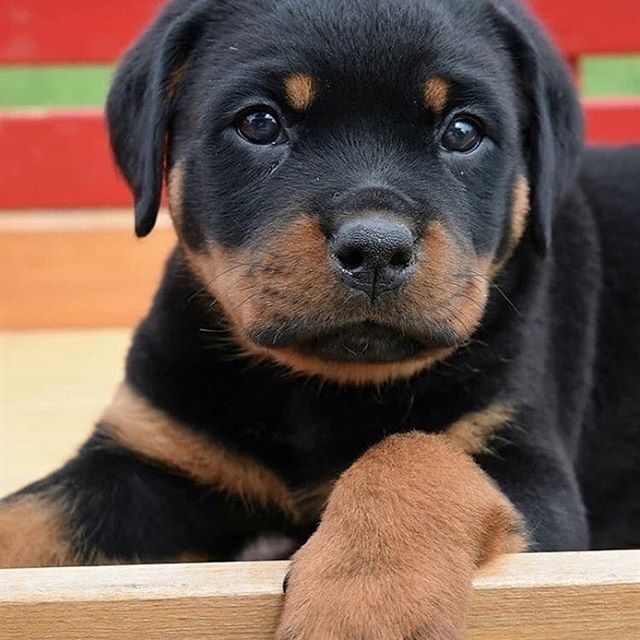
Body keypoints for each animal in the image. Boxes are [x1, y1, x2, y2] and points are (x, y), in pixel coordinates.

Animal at [1, 0, 640, 636]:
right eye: (260, 123)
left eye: (463, 132)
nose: (377, 249)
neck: (317, 389)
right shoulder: (150, 459)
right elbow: (29, 515)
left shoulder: (530, 466)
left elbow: (420, 454)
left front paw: (364, 601)